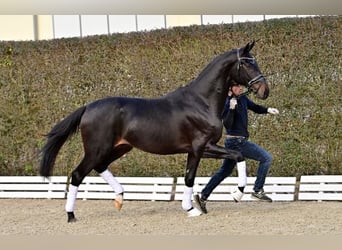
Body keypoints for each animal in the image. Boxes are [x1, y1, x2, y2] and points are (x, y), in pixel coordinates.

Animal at [39, 41, 270, 223]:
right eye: (247, 63)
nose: (264, 90)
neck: (201, 102)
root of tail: (88, 107)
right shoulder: (201, 147)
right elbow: (231, 158)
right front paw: (235, 194)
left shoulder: (198, 150)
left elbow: (195, 174)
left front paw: (193, 206)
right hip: (97, 149)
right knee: (78, 174)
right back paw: (71, 215)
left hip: (120, 147)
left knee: (100, 166)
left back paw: (119, 198)